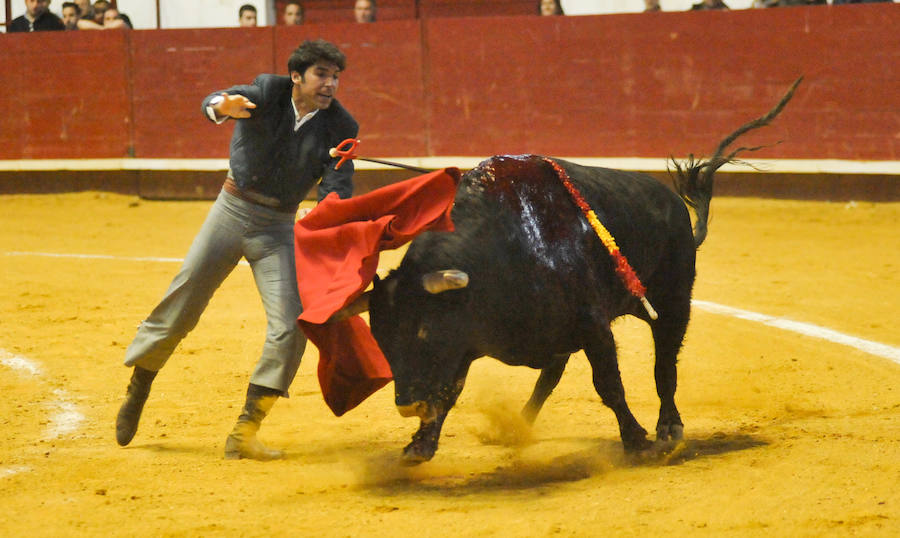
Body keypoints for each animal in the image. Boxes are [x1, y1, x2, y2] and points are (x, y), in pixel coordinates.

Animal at [334, 78, 800, 460]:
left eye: (422, 332)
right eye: (381, 339)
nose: (407, 404)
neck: (500, 250)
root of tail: (673, 205)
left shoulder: (592, 324)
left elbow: (609, 383)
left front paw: (637, 440)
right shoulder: (465, 342)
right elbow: (449, 390)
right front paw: (419, 445)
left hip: (672, 300)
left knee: (664, 363)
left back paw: (669, 428)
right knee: (553, 373)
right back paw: (518, 425)